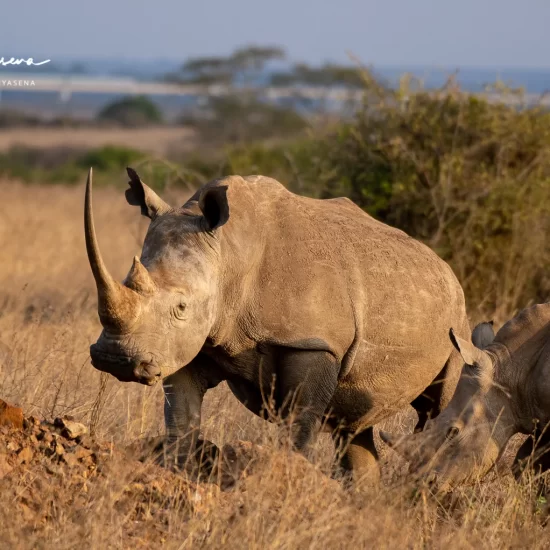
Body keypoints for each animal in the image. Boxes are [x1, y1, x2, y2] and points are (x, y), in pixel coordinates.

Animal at [85, 167, 470, 484]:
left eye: (181, 307)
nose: (114, 359)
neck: (229, 254)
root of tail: (446, 267)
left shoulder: (312, 343)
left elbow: (298, 427)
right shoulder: (187, 345)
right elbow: (181, 421)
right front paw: (177, 475)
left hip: (459, 323)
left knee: (443, 406)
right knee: (353, 427)